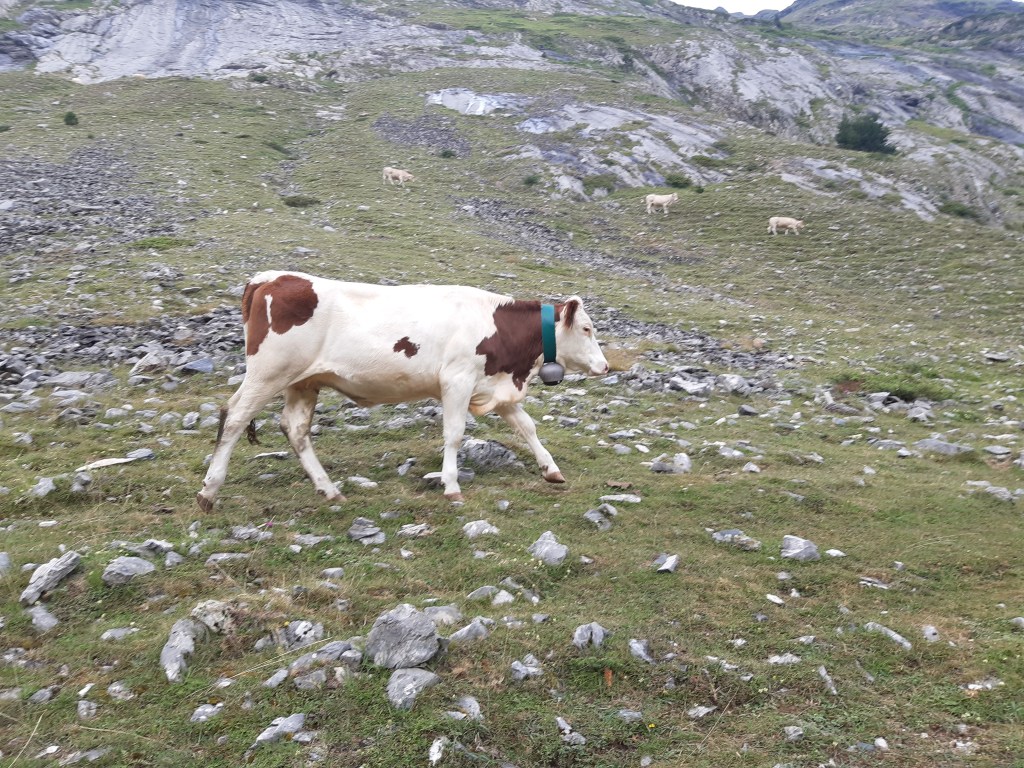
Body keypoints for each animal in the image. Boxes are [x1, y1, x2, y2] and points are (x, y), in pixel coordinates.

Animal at [195, 271, 609, 510]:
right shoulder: (456, 381)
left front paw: (551, 470)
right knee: (234, 417)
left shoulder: (494, 384)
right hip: (269, 372)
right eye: (587, 328)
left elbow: (527, 427)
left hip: (302, 382)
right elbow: (454, 434)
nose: (605, 366)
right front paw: (451, 486)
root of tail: (269, 278)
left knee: (295, 430)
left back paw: (329, 489)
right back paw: (209, 491)